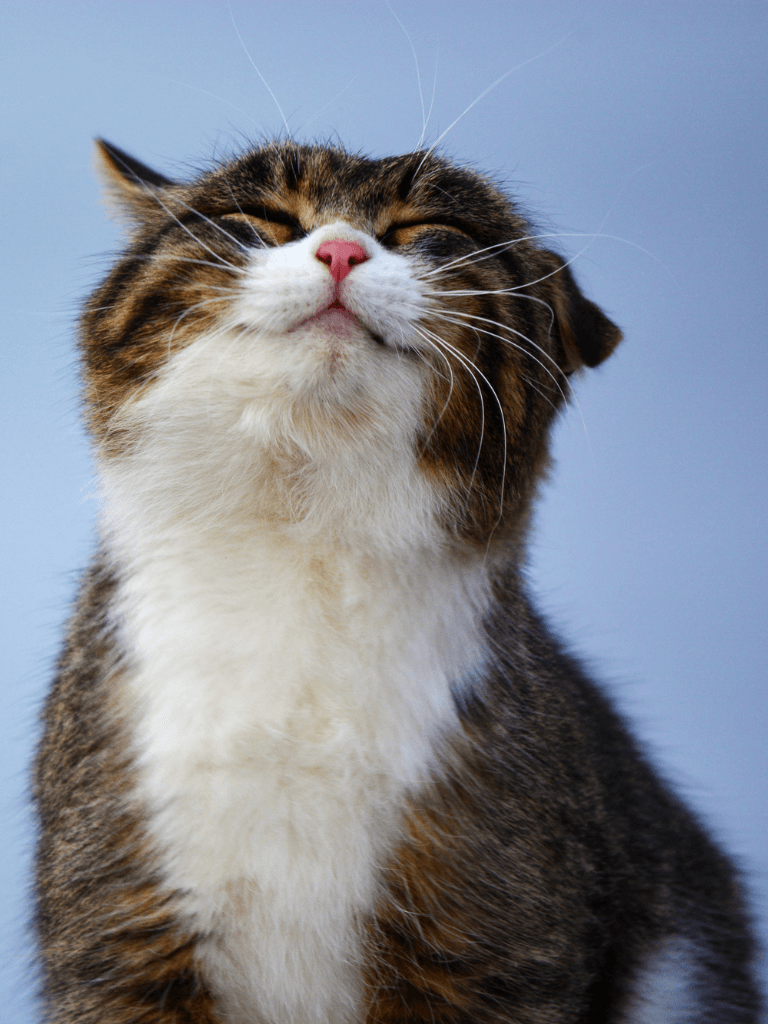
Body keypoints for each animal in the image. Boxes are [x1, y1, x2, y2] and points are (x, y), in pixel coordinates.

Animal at [31, 138, 765, 1024]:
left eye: (426, 229)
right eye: (262, 218)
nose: (342, 251)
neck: (303, 552)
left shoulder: (491, 949)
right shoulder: (119, 933)